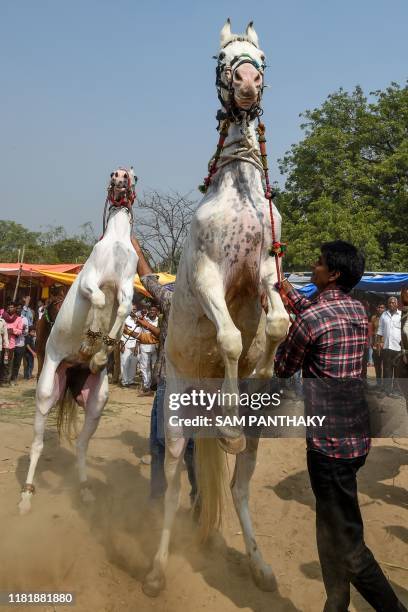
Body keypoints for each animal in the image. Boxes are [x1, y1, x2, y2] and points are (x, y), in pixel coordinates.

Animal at [18, 166, 139, 512]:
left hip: (97, 401)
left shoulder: (127, 286)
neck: (116, 243)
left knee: (83, 444)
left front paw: (99, 354)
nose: (121, 176)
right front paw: (89, 342)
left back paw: (84, 489)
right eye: (112, 173)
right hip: (47, 387)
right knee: (37, 443)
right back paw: (26, 496)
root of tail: (70, 370)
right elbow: (97, 299)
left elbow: (121, 309)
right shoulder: (89, 280)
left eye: (133, 177)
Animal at [142, 20, 288, 596]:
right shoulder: (209, 273)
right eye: (221, 59)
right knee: (173, 481)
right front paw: (228, 424)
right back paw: (157, 571)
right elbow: (229, 337)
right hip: (177, 416)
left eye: (262, 59)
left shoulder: (266, 269)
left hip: (252, 448)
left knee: (240, 486)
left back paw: (261, 566)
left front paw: (263, 375)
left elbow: (277, 322)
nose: (247, 83)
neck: (238, 196)